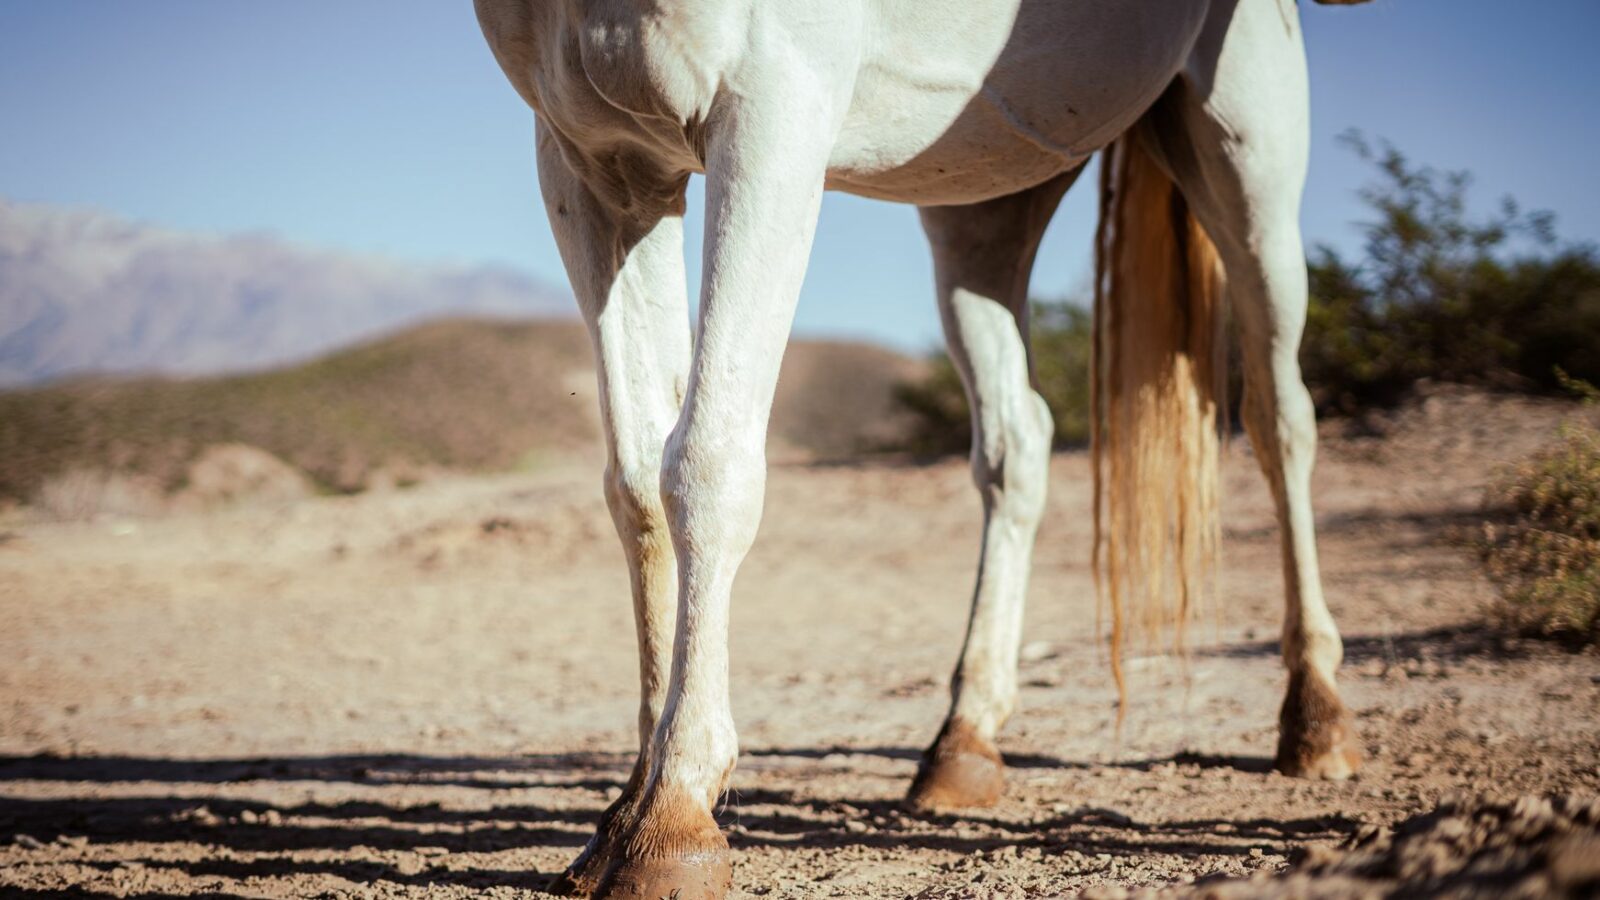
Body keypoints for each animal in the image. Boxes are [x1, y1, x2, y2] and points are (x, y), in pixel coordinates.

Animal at [474, 0, 1363, 896]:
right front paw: (627, 806)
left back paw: (1316, 716)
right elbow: (635, 486)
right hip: (991, 190)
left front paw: (672, 816)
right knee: (1018, 441)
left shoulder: (771, 109)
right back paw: (964, 742)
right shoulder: (597, 164)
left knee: (1280, 418)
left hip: (1243, 144)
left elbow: (705, 463)